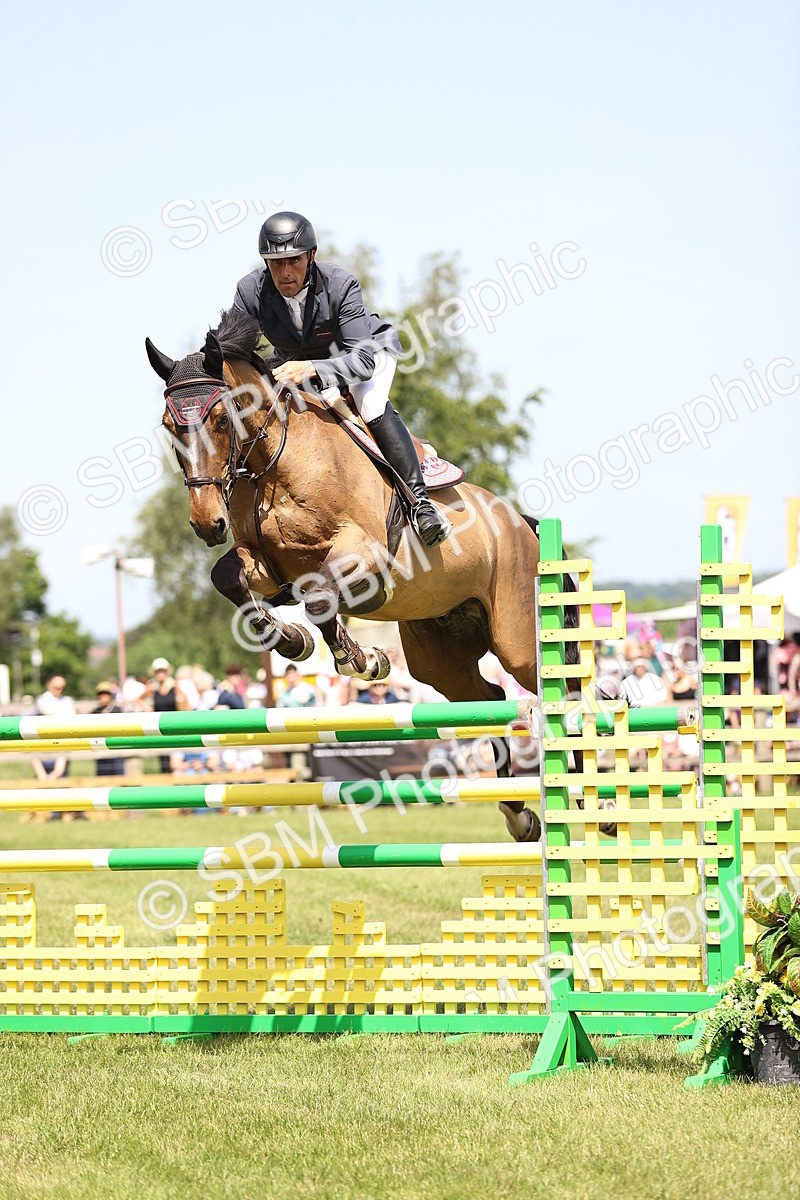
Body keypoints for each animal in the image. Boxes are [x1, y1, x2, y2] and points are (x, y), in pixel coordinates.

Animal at [146, 307, 562, 841]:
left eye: (221, 419)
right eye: (168, 426)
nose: (206, 523)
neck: (275, 462)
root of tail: (523, 524)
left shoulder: (364, 555)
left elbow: (320, 598)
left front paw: (362, 660)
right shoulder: (267, 567)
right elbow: (231, 580)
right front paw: (293, 642)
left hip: (518, 639)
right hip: (439, 656)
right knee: (487, 699)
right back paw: (519, 815)